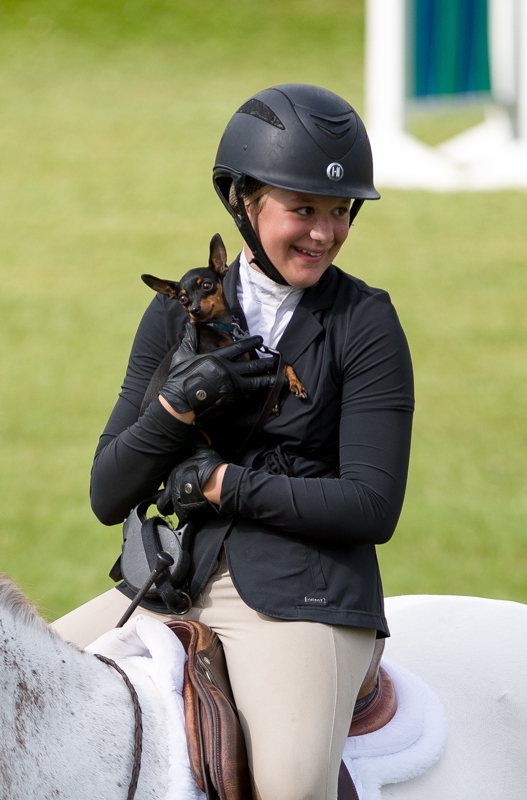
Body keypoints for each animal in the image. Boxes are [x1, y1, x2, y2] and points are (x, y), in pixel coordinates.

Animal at [140, 233, 308, 416]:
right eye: (182, 298)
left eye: (207, 285)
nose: (194, 310)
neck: (218, 327)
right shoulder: (238, 375)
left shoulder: (248, 363)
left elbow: (279, 365)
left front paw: (294, 381)